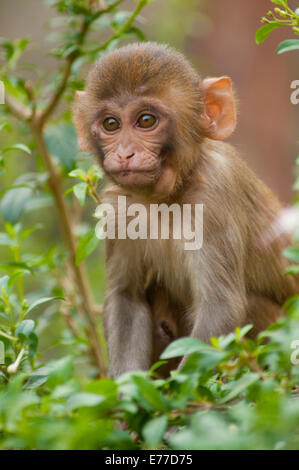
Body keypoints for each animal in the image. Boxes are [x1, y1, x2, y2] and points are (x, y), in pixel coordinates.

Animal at [74, 40, 298, 378]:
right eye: (111, 124)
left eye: (146, 121)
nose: (125, 153)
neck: (167, 196)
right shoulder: (119, 208)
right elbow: (127, 296)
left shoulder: (215, 192)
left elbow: (221, 307)